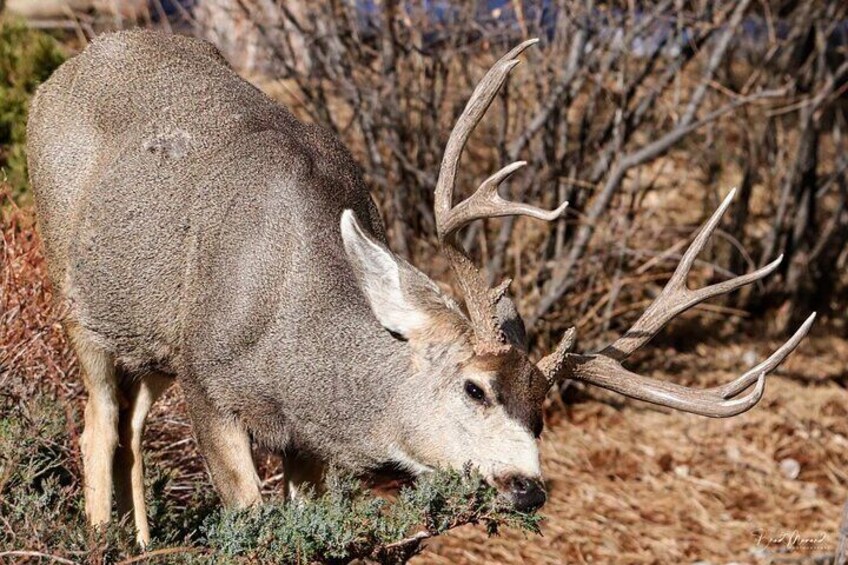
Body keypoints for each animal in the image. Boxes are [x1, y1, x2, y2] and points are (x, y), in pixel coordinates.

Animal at [28, 28, 816, 544]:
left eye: (544, 411)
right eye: (474, 387)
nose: (527, 485)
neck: (294, 340)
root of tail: (62, 71)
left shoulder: (305, 440)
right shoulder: (208, 380)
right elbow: (252, 521)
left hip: (148, 339)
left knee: (131, 427)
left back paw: (142, 542)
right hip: (74, 293)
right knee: (98, 421)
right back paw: (100, 539)